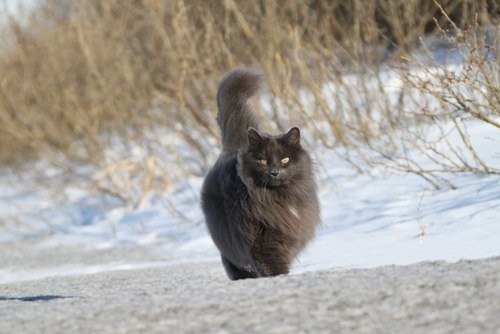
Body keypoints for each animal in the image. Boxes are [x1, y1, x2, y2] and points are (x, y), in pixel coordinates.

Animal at [200, 67, 320, 280]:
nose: (274, 172)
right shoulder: (262, 245)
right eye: (263, 160)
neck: (278, 199)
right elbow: (272, 268)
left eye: (285, 160)